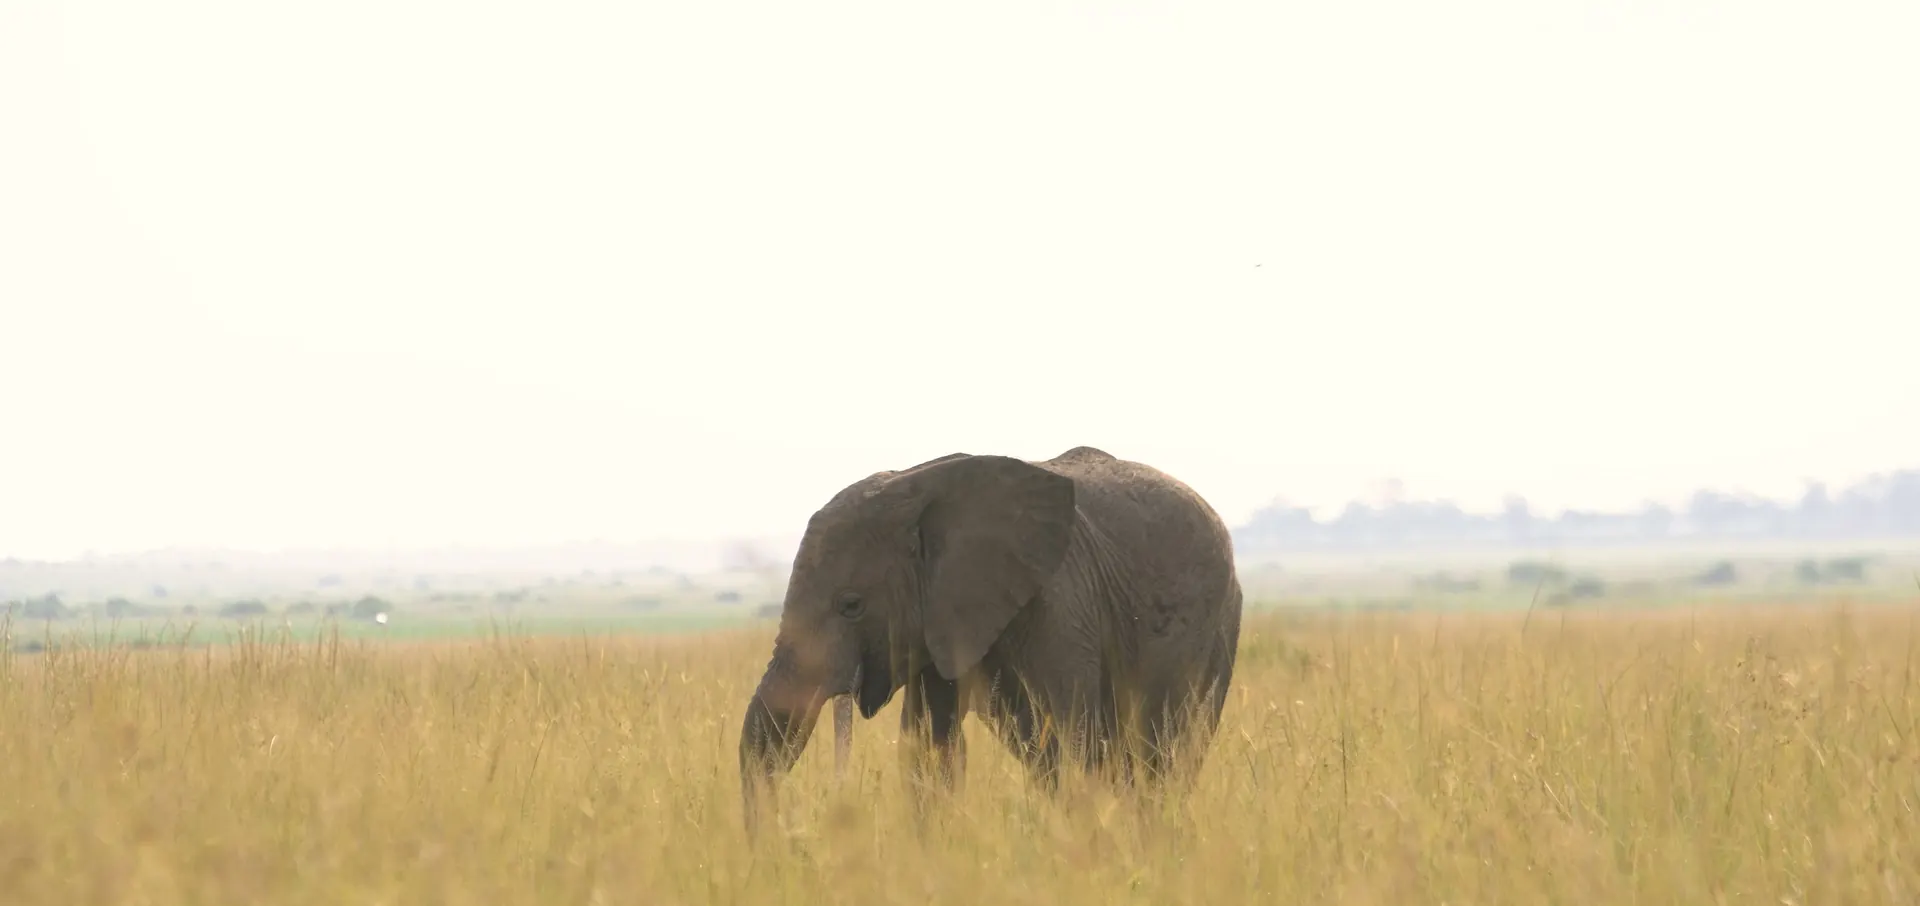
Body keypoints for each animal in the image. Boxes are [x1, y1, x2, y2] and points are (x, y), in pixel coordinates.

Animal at [738, 446, 1243, 827]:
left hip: (1215, 626)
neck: (920, 486)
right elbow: (930, 747)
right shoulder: (939, 618)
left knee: (1166, 750)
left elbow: (1070, 736)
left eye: (851, 604)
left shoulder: (1060, 601)